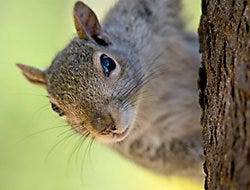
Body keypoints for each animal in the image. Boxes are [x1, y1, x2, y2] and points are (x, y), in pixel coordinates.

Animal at [17, 0, 204, 179]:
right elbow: (180, 160)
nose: (105, 127)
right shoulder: (140, 149)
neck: (147, 102)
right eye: (56, 108)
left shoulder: (137, 21)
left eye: (108, 63)